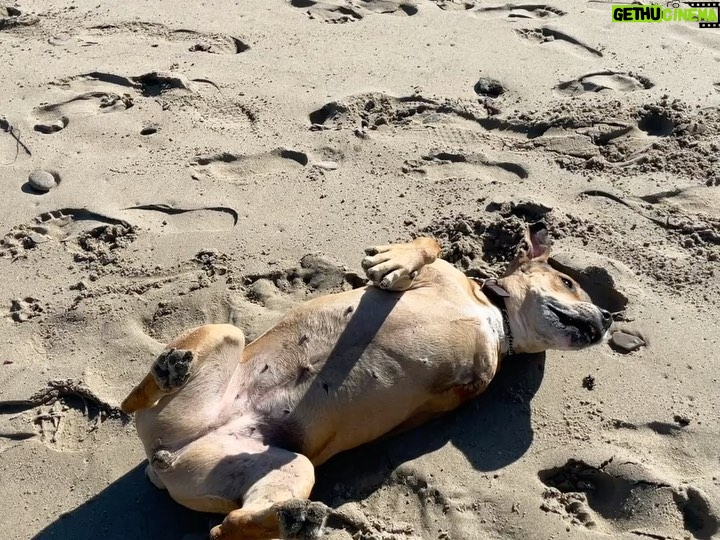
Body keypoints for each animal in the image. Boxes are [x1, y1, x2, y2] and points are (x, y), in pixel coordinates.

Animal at [121, 223, 612, 540]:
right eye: (568, 281)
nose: (608, 319)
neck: (493, 315)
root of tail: (163, 460)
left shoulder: (471, 380)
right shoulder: (440, 275)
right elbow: (430, 243)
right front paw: (394, 260)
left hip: (290, 466)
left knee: (226, 529)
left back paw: (295, 519)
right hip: (226, 336)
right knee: (133, 402)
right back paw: (170, 369)